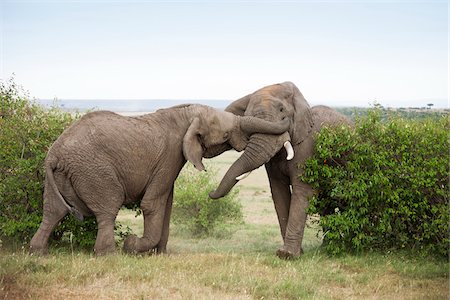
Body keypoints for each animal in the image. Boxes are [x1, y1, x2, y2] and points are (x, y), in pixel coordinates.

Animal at [29, 103, 288, 255]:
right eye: (225, 134)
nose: (284, 114)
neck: (187, 113)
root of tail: (54, 155)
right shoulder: (170, 154)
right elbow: (152, 203)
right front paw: (134, 245)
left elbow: (167, 202)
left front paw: (159, 253)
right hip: (93, 170)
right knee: (108, 208)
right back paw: (109, 255)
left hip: (60, 177)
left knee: (52, 211)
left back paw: (37, 252)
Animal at [209, 82, 354, 260]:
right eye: (248, 116)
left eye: (281, 110)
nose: (210, 193)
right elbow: (279, 192)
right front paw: (290, 253)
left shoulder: (308, 147)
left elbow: (302, 190)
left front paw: (287, 255)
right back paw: (326, 249)